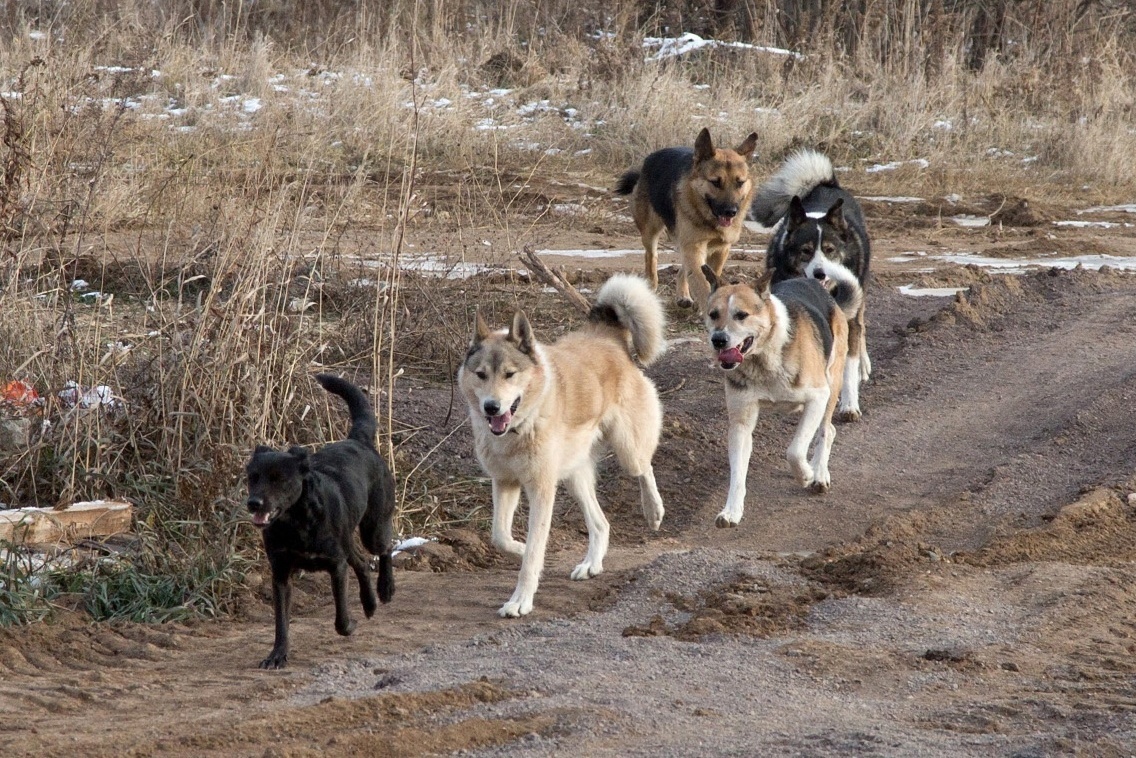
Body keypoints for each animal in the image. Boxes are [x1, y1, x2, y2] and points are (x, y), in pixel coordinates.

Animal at [244, 375, 395, 668]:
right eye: (252, 477)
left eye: (279, 479)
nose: (253, 503)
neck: (296, 523)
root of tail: (359, 441)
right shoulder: (280, 573)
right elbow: (281, 623)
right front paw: (277, 655)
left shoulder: (335, 565)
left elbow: (341, 619)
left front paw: (351, 624)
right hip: (348, 538)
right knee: (361, 561)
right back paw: (369, 602)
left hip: (373, 528)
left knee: (385, 549)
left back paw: (385, 590)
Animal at [456, 276, 663, 618]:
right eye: (481, 374)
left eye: (510, 374)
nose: (491, 407)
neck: (521, 427)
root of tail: (605, 335)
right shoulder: (505, 482)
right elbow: (500, 537)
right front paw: (520, 548)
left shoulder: (541, 490)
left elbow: (532, 555)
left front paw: (521, 600)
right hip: (573, 476)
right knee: (601, 523)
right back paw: (591, 564)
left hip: (627, 450)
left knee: (645, 468)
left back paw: (654, 510)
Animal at [617, 128, 758, 313]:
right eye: (715, 182)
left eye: (740, 183)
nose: (731, 212)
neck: (707, 218)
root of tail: (649, 159)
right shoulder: (693, 246)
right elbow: (702, 282)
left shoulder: (719, 250)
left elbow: (710, 278)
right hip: (651, 232)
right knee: (651, 257)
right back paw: (652, 287)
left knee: (682, 269)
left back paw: (683, 296)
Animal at [699, 265, 858, 527]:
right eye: (713, 314)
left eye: (741, 315)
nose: (718, 340)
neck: (764, 357)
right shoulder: (741, 424)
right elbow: (738, 473)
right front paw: (731, 511)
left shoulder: (817, 397)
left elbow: (794, 451)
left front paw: (806, 475)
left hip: (832, 385)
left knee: (827, 430)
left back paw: (819, 474)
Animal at [749, 147, 872, 420]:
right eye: (805, 251)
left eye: (829, 250)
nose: (820, 273)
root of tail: (826, 183)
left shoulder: (846, 318)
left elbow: (848, 364)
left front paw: (849, 404)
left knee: (861, 326)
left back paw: (863, 365)